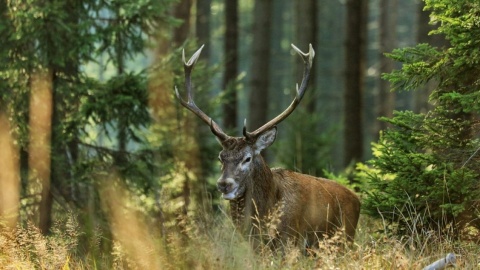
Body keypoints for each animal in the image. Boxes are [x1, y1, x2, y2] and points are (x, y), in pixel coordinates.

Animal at [175, 43, 360, 249]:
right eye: (220, 157)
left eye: (247, 158)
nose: (224, 184)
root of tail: (358, 199)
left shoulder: (290, 239)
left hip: (344, 238)